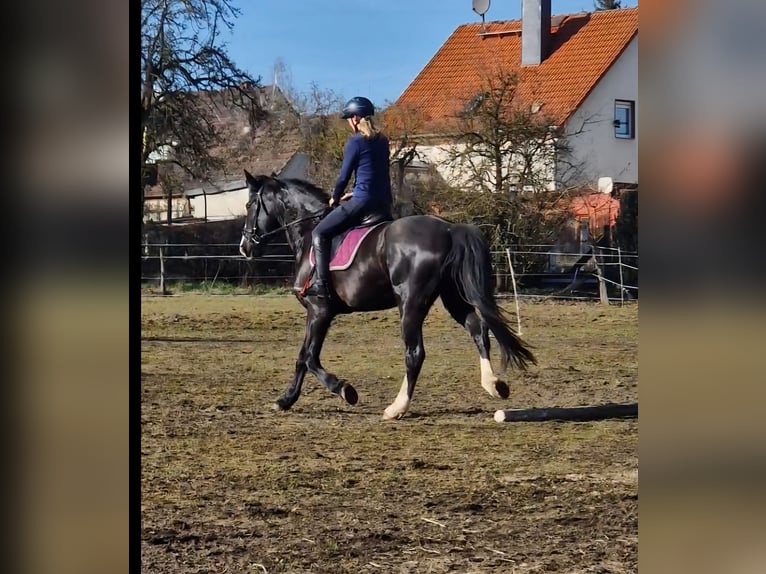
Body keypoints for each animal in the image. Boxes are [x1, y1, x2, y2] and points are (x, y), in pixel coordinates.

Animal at [238, 170, 536, 420]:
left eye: (249, 205)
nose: (244, 247)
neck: (309, 232)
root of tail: (450, 229)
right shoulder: (317, 314)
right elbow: (302, 357)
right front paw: (285, 400)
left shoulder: (319, 311)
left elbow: (310, 357)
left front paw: (345, 390)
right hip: (451, 297)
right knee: (478, 330)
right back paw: (494, 385)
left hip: (411, 304)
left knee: (415, 353)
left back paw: (397, 407)